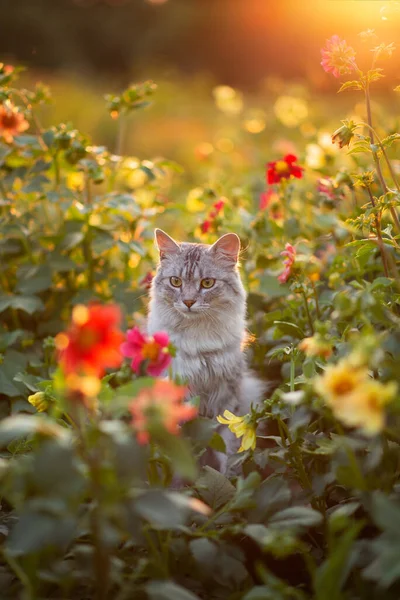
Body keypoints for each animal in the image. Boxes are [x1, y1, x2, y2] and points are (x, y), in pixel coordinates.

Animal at [147, 230, 266, 474]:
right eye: (175, 282)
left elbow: (228, 451)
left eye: (207, 283)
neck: (198, 338)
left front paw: (230, 478)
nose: (188, 301)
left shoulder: (227, 398)